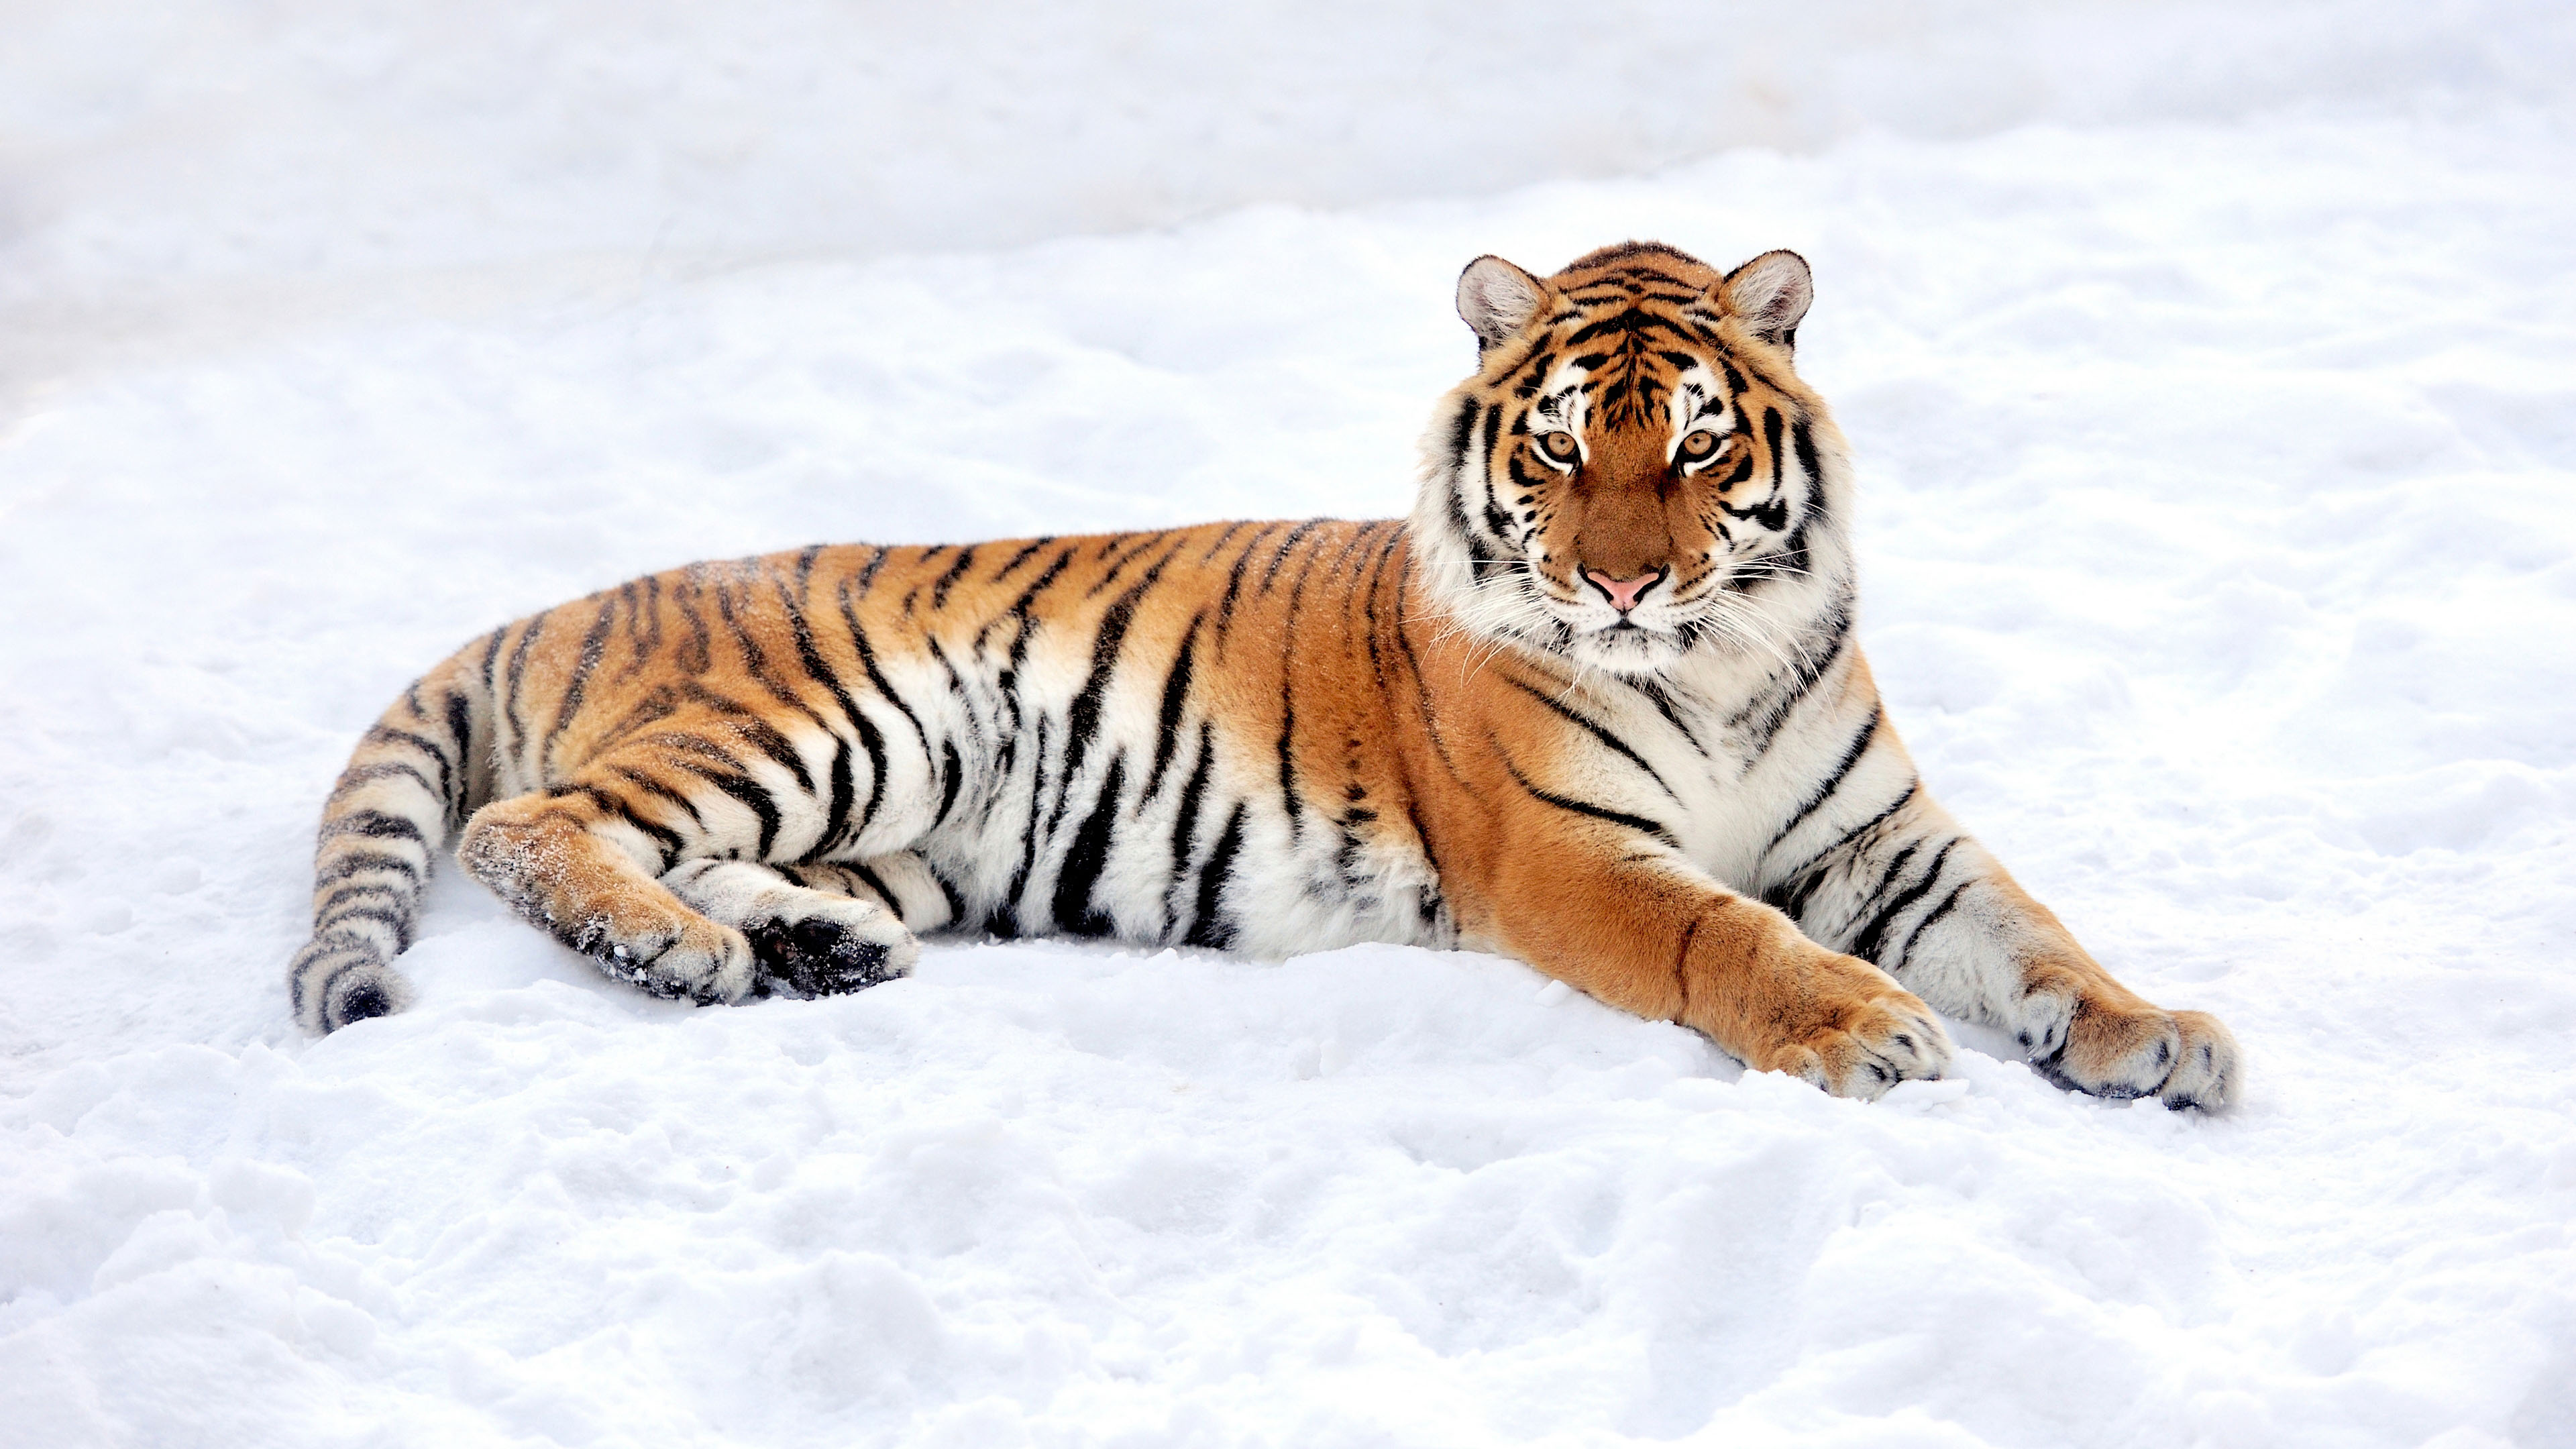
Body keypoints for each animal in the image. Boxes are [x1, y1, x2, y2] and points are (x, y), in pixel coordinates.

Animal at [292, 237, 2236, 1098]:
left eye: (1690, 448)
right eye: (1557, 451)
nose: (1616, 583)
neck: (1720, 657)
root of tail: (580, 599)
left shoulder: (1880, 836)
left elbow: (2030, 933)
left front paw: (2154, 1036)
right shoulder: (1570, 854)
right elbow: (1728, 939)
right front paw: (1868, 1030)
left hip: (887, 829)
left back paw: (807, 951)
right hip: (830, 720)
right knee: (534, 829)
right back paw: (688, 956)